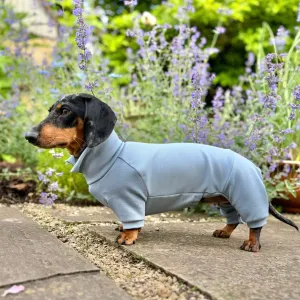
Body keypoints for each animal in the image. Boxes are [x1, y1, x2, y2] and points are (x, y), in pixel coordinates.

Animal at [25, 94, 298, 251]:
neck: (110, 154)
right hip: (225, 198)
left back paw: (252, 243)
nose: (28, 136)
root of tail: (254, 166)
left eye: (64, 111)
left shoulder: (130, 199)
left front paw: (128, 237)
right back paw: (224, 231)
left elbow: (133, 221)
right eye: (50, 110)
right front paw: (123, 229)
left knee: (255, 224)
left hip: (245, 193)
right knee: (234, 219)